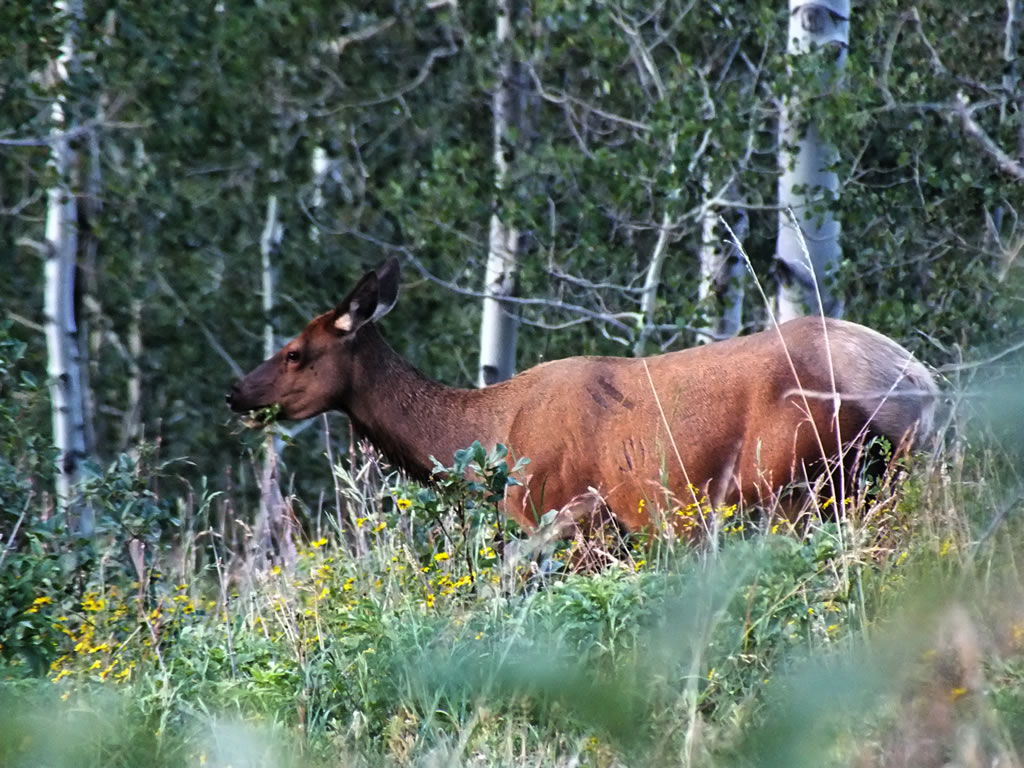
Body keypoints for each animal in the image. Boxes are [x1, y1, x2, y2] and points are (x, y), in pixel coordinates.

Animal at [227, 258, 938, 539]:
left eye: (295, 351)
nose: (236, 391)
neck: (493, 434)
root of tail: (922, 385)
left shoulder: (572, 513)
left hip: (805, 476)